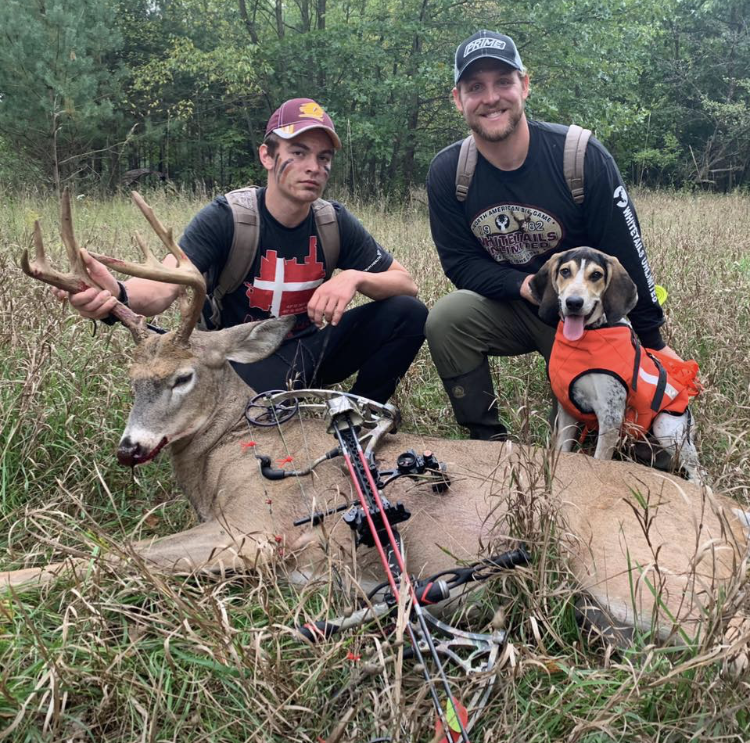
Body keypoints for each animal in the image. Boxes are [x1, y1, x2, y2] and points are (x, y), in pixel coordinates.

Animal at [532, 247, 704, 486]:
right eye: (565, 271)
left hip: (666, 426)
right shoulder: (567, 411)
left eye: (596, 275)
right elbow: (563, 451)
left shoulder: (610, 417)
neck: (588, 336)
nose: (574, 302)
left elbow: (600, 460)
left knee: (699, 474)